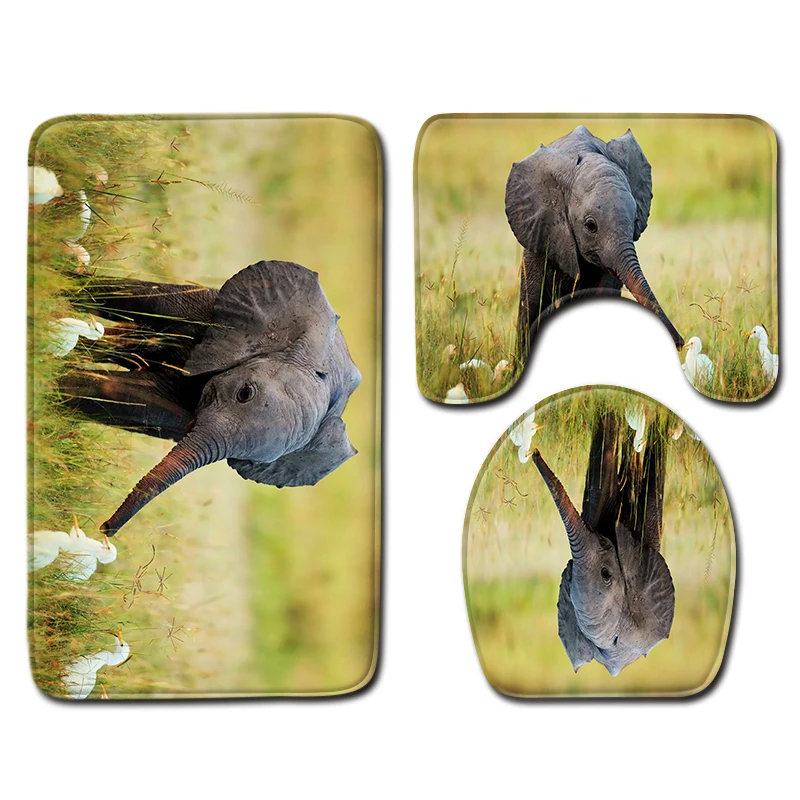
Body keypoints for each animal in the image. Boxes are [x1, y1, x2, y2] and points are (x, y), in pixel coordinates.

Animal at [61, 260, 362, 536]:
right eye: (244, 393)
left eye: (252, 462)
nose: (103, 528)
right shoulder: (213, 309)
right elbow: (139, 297)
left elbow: (131, 398)